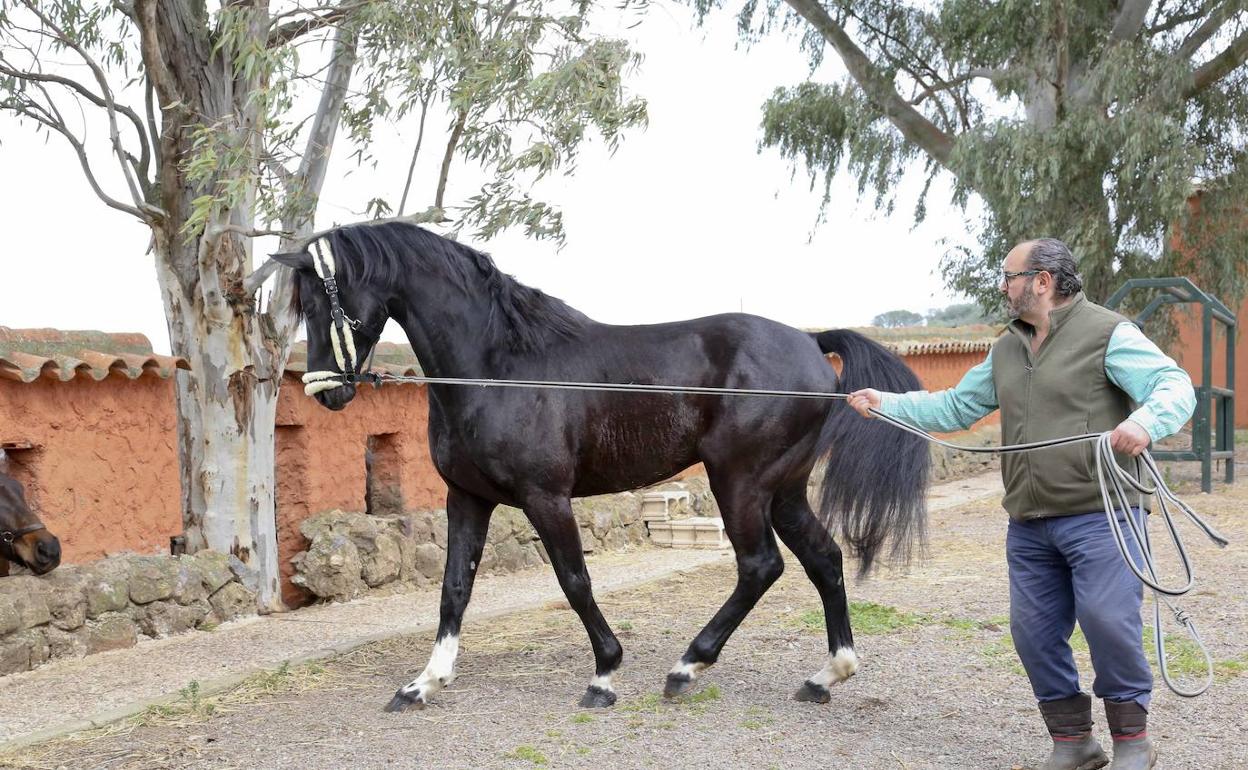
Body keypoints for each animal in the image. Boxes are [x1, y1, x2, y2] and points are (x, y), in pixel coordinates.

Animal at [275, 220, 928, 708]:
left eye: (324, 300)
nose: (325, 391)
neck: (497, 366)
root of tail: (811, 343)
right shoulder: (468, 497)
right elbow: (454, 587)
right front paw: (423, 684)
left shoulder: (545, 497)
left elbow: (574, 580)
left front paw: (604, 674)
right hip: (784, 489)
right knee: (824, 559)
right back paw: (826, 674)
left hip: (740, 483)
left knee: (760, 566)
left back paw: (687, 667)